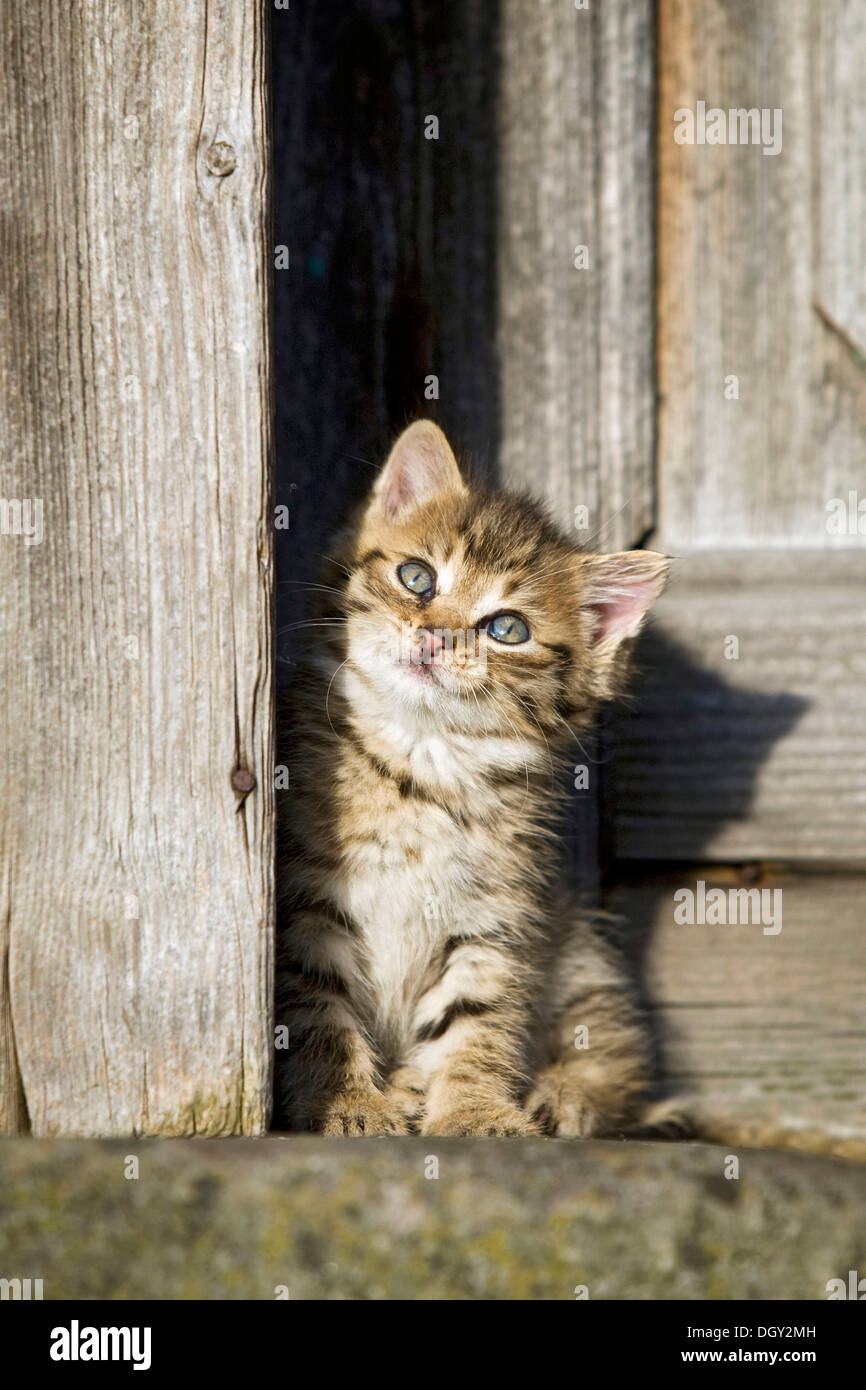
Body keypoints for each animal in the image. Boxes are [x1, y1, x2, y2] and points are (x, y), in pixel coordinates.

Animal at [278, 417, 670, 1134]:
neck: (422, 764)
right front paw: (345, 1103)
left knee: (614, 1048)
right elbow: (319, 1013)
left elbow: (480, 1020)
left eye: (506, 628)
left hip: (579, 952)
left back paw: (564, 1094)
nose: (435, 636)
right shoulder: (307, 899)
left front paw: (476, 1109)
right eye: (416, 578)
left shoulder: (497, 918)